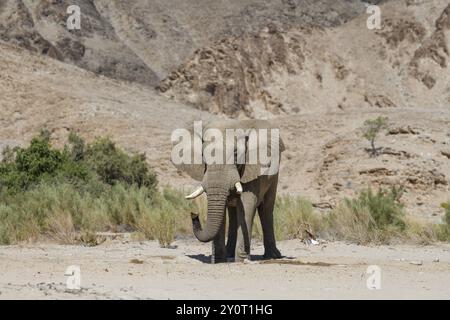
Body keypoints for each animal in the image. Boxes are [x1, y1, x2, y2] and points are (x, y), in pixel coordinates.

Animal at [172, 119, 284, 262]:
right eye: (202, 155)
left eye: (236, 154)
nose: (194, 214)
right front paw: (218, 261)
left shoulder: (252, 168)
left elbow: (247, 205)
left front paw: (241, 260)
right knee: (233, 212)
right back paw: (230, 254)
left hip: (274, 175)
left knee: (266, 209)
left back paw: (272, 256)